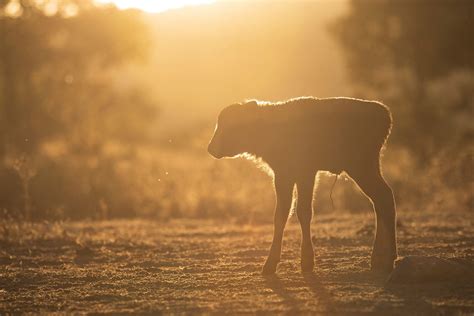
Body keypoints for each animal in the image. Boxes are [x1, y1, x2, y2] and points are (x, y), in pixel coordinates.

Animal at [207, 96, 396, 274]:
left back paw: (386, 260)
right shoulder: (290, 176)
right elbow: (285, 214)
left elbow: (298, 212)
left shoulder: (300, 174)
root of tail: (383, 112)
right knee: (381, 201)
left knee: (384, 198)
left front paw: (300, 262)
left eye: (231, 125)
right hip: (368, 169)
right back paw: (380, 260)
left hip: (361, 168)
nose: (211, 148)